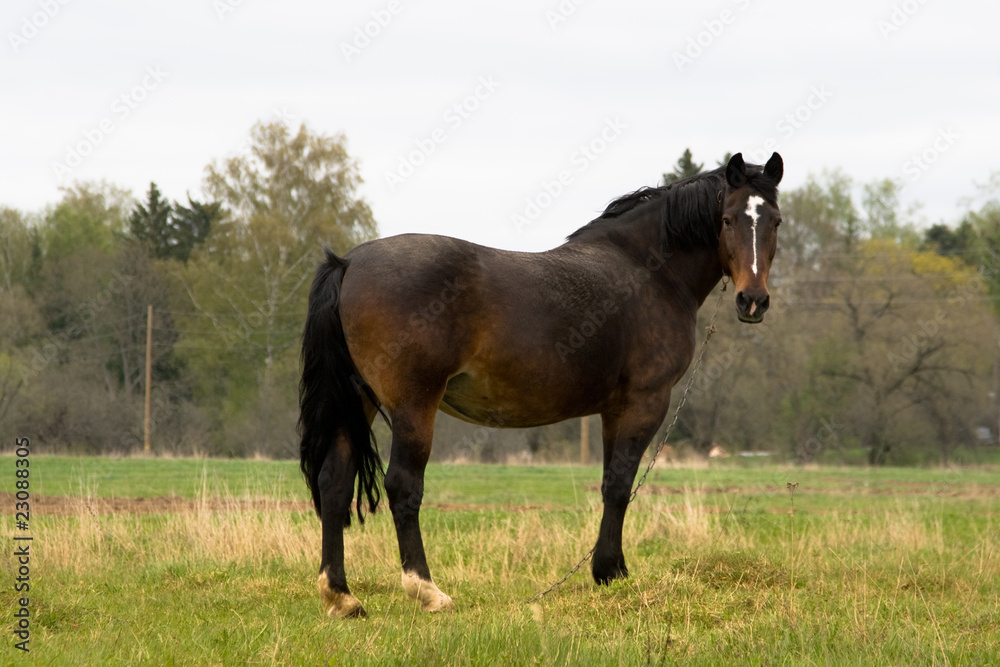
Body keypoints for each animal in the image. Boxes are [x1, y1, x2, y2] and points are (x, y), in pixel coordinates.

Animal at [300, 151, 784, 616]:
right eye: (728, 219)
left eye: (775, 221)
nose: (753, 301)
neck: (648, 273)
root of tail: (350, 262)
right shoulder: (645, 402)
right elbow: (620, 485)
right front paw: (610, 571)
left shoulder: (613, 409)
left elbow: (610, 483)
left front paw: (609, 570)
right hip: (413, 407)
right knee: (403, 486)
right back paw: (427, 591)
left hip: (358, 402)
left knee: (333, 483)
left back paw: (341, 596)